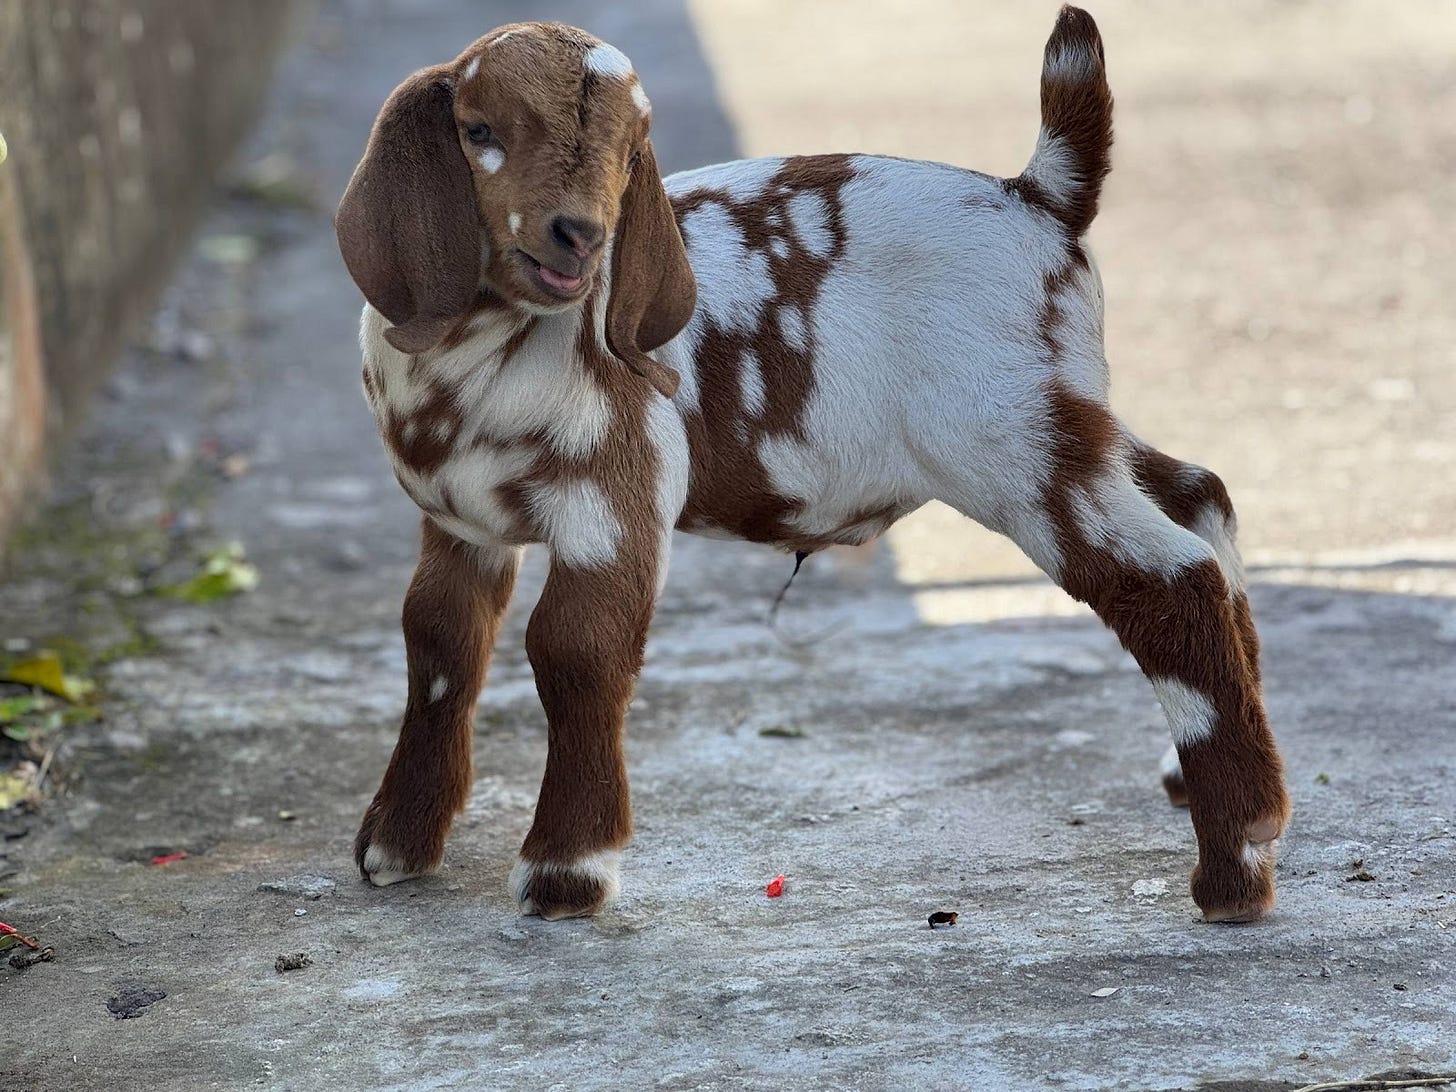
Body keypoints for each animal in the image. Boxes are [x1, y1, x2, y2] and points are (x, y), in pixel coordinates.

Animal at [336, 7, 1290, 922]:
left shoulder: (616, 497)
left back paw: (1236, 865)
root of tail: (1038, 196)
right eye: (479, 129)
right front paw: (396, 845)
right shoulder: (458, 519)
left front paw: (565, 874)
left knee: (1169, 579)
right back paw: (1202, 782)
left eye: (631, 151)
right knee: (1200, 495)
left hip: (1011, 443)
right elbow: (439, 637)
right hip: (1066, 416)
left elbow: (574, 650)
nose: (582, 236)